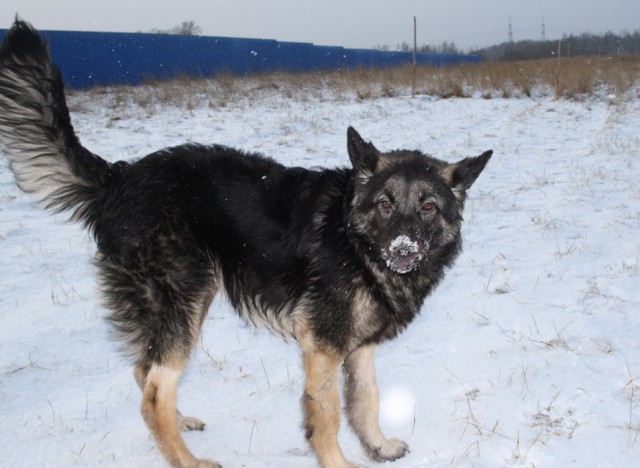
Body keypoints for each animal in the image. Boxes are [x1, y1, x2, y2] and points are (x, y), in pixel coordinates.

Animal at [0, 19, 492, 468]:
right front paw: (338, 461)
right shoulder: (322, 346)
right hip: (184, 299)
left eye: (428, 207)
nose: (403, 250)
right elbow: (327, 416)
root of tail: (118, 176)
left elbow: (366, 399)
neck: (355, 241)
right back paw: (188, 461)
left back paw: (180, 425)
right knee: (153, 393)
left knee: (144, 370)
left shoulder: (358, 345)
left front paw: (378, 446)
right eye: (386, 204)